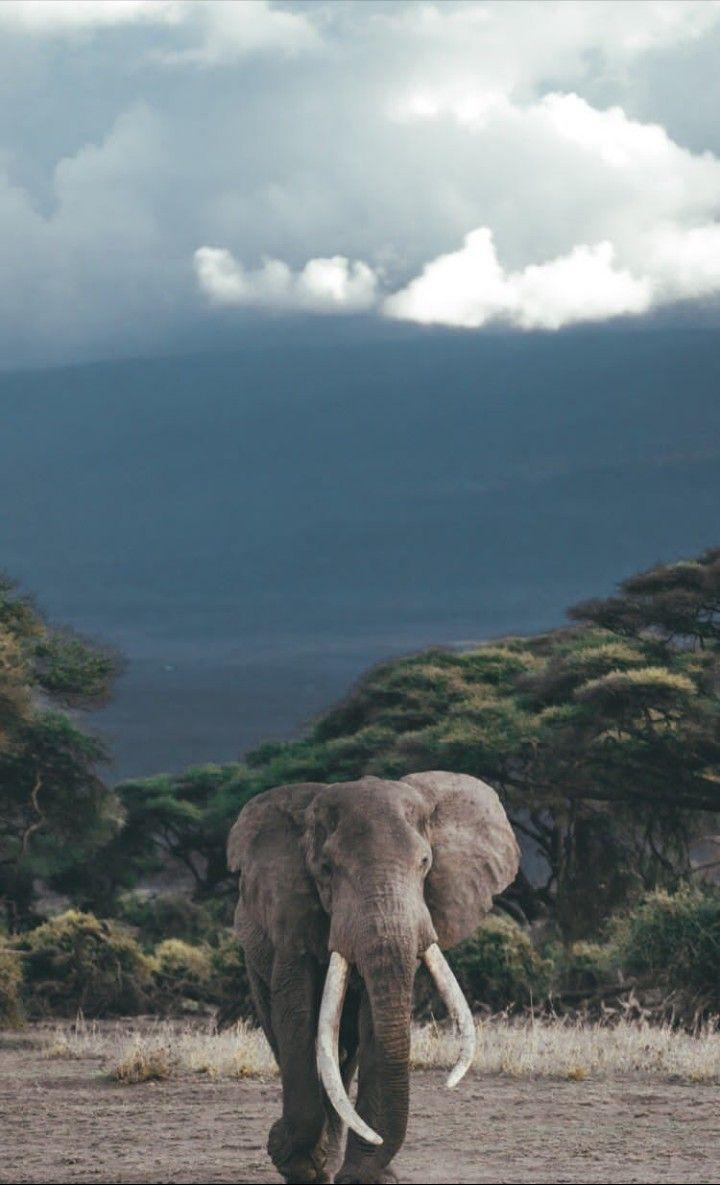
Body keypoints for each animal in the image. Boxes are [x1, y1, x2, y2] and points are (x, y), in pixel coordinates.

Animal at [227, 770, 519, 1185]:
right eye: (327, 869)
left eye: (425, 863)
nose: (275, 1141)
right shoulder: (290, 914)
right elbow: (297, 1019)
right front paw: (291, 1157)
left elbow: (373, 1027)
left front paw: (364, 1176)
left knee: (344, 1053)